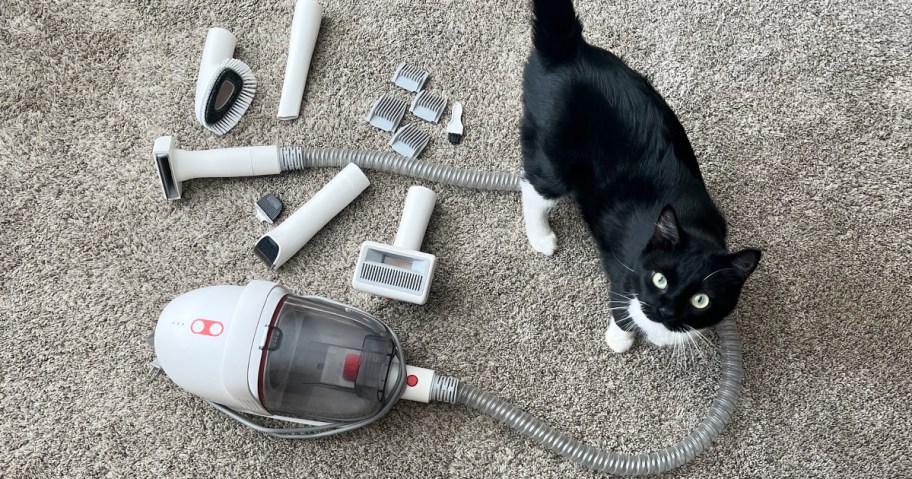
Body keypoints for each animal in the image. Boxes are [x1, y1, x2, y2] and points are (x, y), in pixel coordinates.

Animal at [520, 0, 764, 352]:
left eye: (701, 300)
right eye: (659, 279)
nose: (665, 309)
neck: (694, 225)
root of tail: (568, 48)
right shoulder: (624, 268)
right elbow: (622, 304)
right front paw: (620, 338)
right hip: (553, 153)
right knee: (533, 186)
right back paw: (541, 237)